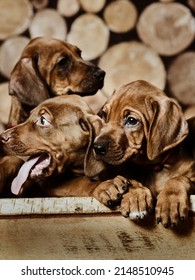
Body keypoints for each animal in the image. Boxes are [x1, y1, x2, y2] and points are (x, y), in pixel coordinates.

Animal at [89, 79, 195, 228]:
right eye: (104, 116)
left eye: (132, 120)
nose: (97, 147)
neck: (156, 167)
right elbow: (129, 180)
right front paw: (136, 197)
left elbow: (179, 178)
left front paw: (170, 202)